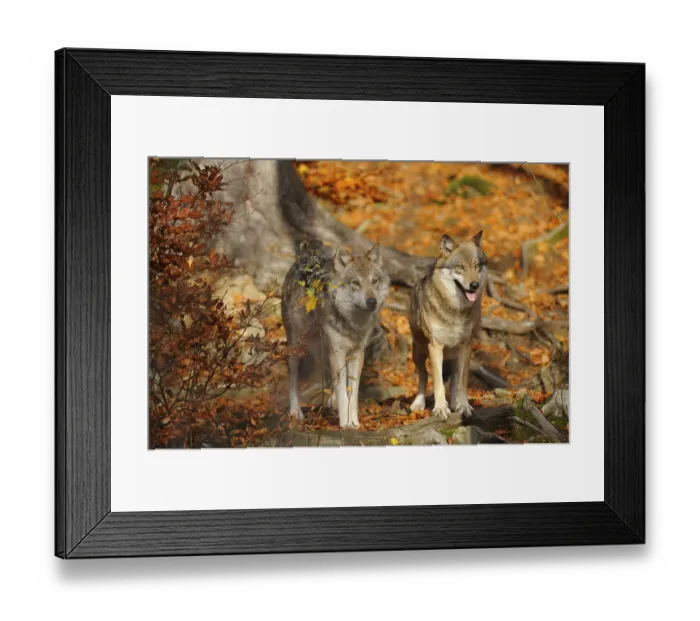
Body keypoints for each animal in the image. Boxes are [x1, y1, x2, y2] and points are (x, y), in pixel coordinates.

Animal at [282, 242, 390, 428]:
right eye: (355, 283)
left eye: (374, 281)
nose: (372, 302)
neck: (353, 324)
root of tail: (303, 258)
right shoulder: (338, 353)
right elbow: (343, 392)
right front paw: (345, 423)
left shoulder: (356, 354)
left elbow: (352, 393)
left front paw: (354, 422)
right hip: (297, 348)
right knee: (294, 378)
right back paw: (296, 412)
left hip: (323, 351)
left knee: (328, 377)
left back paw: (330, 403)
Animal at [409, 231, 488, 420]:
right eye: (460, 267)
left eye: (477, 266)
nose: (474, 285)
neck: (455, 311)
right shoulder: (435, 346)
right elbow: (437, 382)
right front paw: (440, 409)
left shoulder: (466, 346)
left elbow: (462, 383)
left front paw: (464, 406)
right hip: (418, 353)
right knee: (424, 377)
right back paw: (419, 403)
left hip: (455, 357)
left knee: (454, 381)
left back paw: (454, 404)